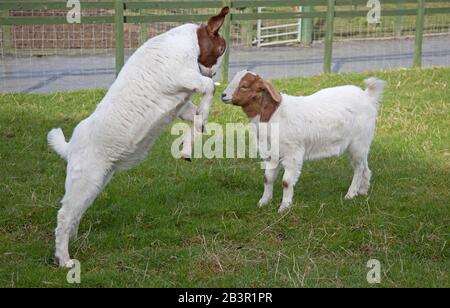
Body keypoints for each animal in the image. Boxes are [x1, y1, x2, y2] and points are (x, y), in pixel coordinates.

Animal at [47, 6, 230, 268]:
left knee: (75, 212)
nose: (215, 71)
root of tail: (70, 146)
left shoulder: (181, 103)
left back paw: (73, 240)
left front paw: (189, 145)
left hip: (97, 181)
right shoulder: (181, 77)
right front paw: (204, 113)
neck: (183, 42)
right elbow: (208, 87)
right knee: (64, 215)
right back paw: (64, 259)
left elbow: (193, 116)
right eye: (221, 48)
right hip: (85, 179)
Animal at [221, 70, 386, 213]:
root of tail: (367, 96)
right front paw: (263, 202)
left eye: (244, 86)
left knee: (359, 168)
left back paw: (350, 194)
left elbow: (286, 182)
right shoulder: (271, 154)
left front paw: (284, 207)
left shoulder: (292, 153)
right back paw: (362, 191)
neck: (273, 115)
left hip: (358, 142)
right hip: (362, 144)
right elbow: (267, 178)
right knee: (365, 166)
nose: (223, 95)